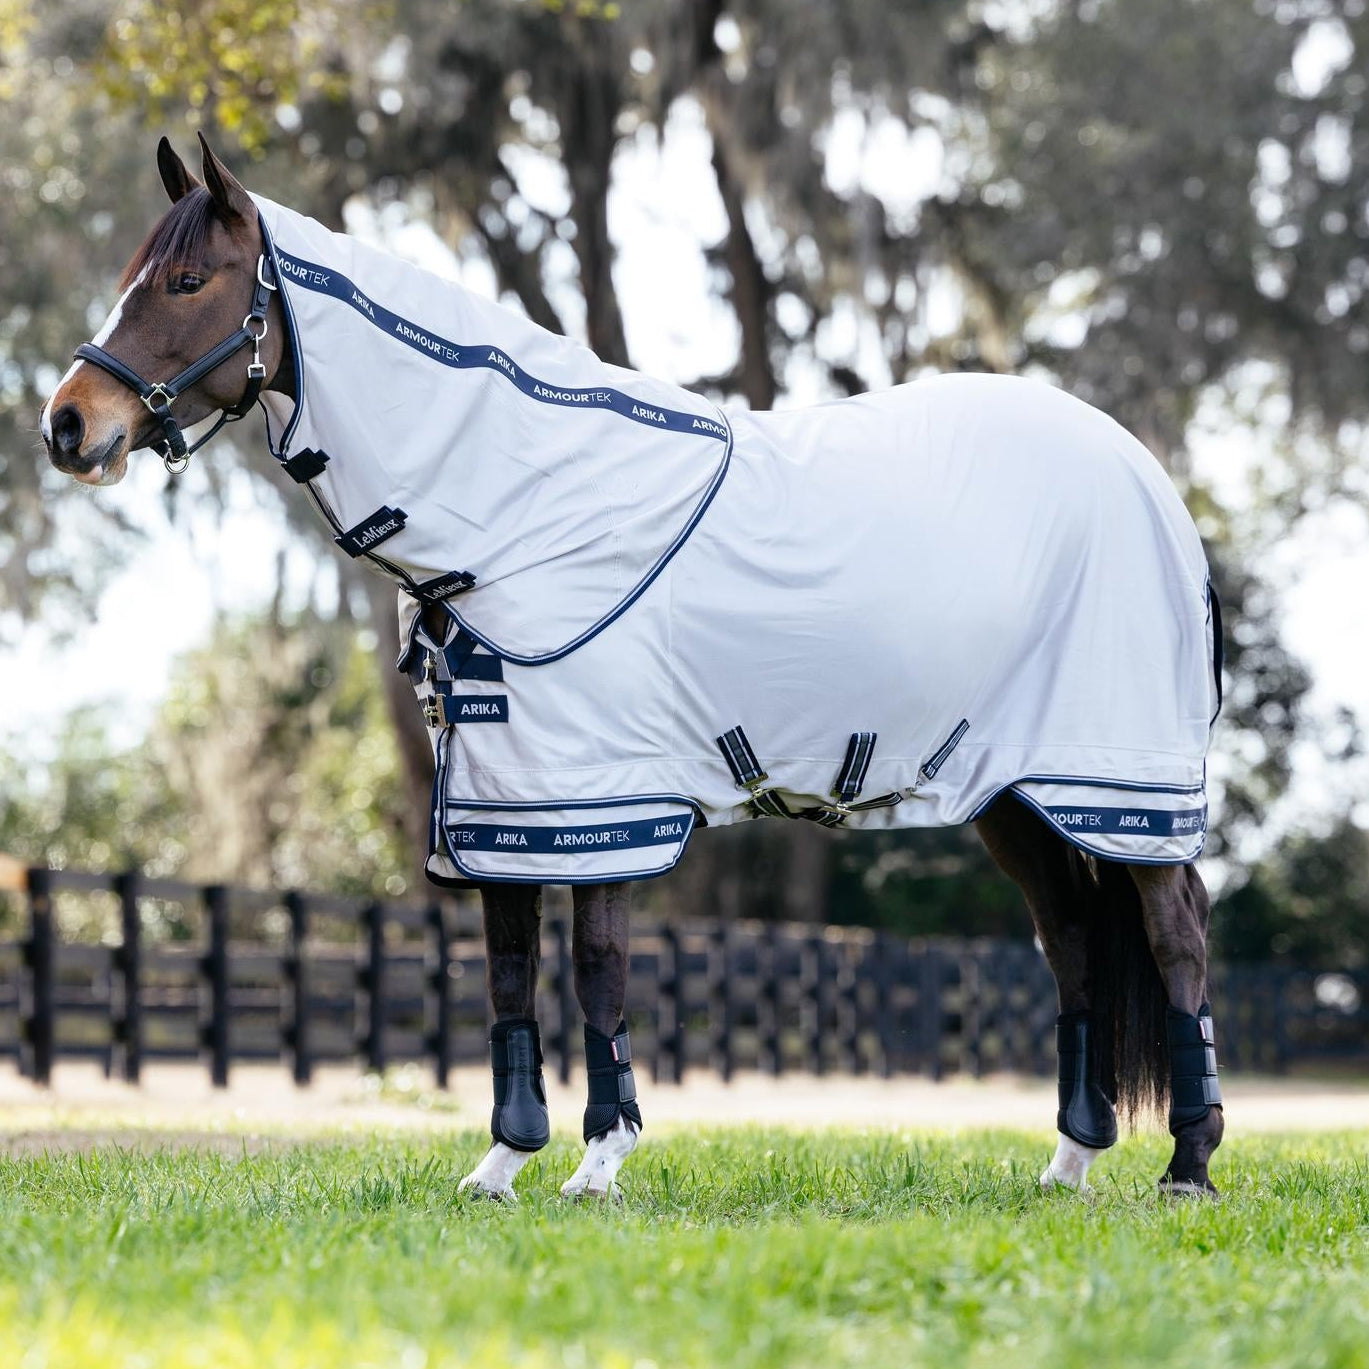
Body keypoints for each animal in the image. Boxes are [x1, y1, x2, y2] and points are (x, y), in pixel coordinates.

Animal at [40, 135, 1225, 1202]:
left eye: (189, 280)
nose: (68, 425)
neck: (529, 507)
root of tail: (1149, 481)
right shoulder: (504, 808)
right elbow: (509, 977)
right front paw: (502, 1162)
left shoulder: (604, 800)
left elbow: (597, 972)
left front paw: (600, 1162)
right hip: (1017, 797)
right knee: (1071, 943)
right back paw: (1068, 1163)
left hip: (1119, 788)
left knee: (1174, 938)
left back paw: (1189, 1164)